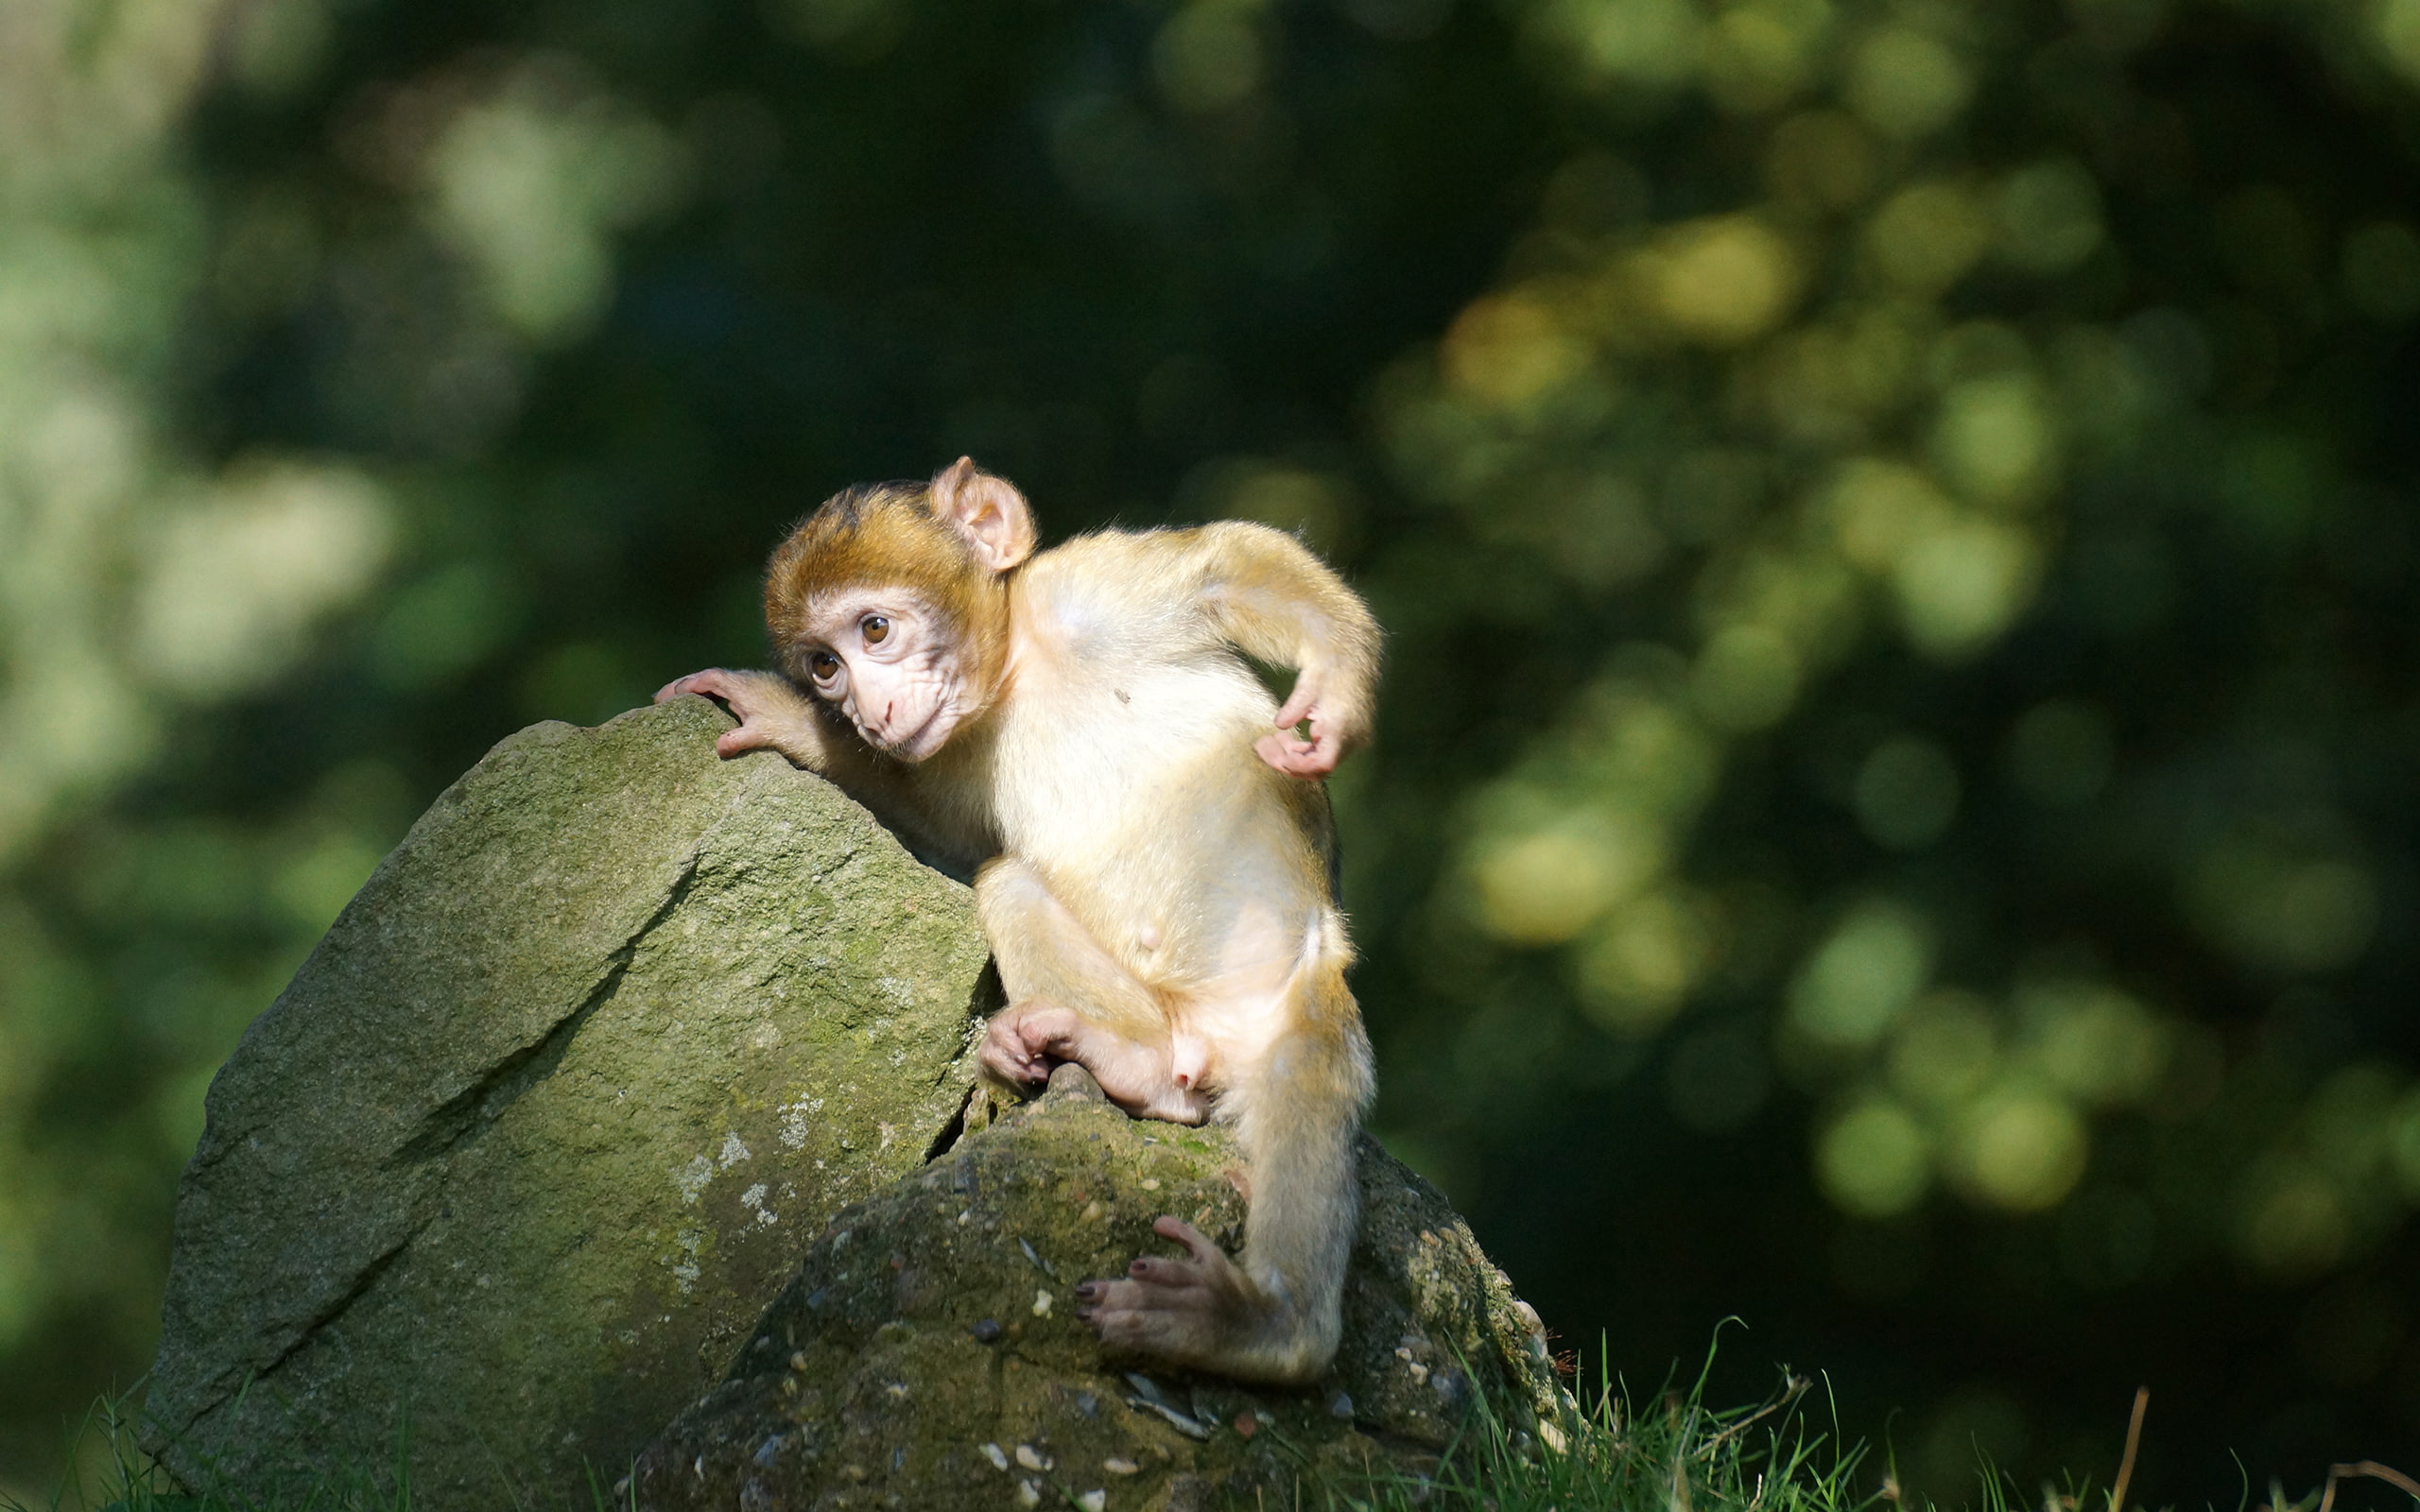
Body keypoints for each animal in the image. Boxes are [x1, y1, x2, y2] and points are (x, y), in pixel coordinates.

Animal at [653, 457, 1380, 1385]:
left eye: (875, 629)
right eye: (822, 666)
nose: (865, 709)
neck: (1015, 675)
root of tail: (1206, 1047)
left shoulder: (1088, 591)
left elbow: (1227, 566)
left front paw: (1336, 688)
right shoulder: (943, 754)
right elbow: (954, 837)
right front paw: (797, 726)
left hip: (1295, 1010)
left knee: (1304, 1084)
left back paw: (1262, 1325)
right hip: (1157, 1022)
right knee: (1008, 886)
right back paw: (1129, 1066)